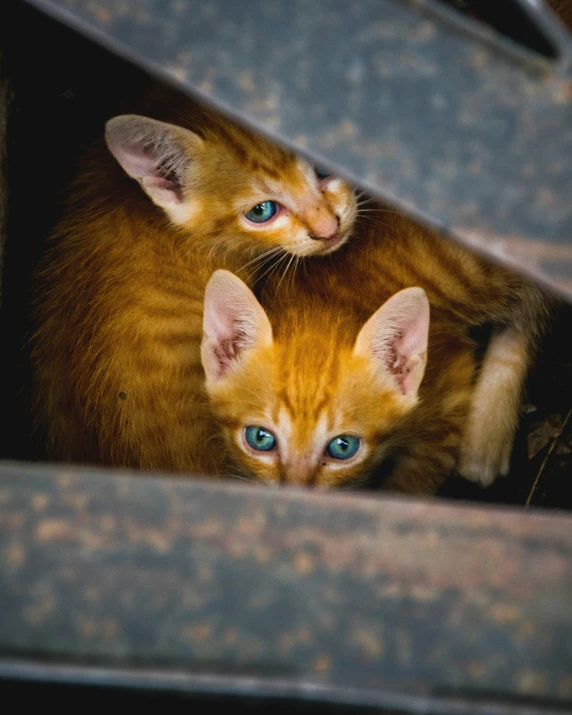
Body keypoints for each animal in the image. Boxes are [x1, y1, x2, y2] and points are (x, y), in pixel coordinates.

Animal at [202, 208, 548, 492]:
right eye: (260, 439)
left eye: (343, 447)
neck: (321, 306)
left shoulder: (451, 393)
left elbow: (411, 487)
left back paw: (488, 434)